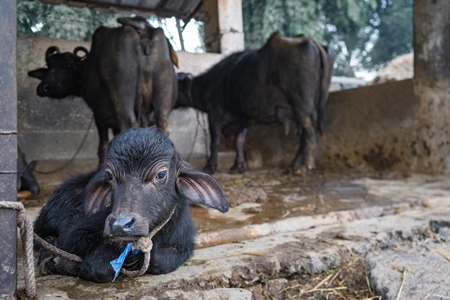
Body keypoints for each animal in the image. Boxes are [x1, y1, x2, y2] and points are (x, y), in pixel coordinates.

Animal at [28, 17, 178, 163]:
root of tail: (143, 32)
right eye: (49, 66)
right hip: (162, 98)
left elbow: (103, 147)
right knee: (163, 127)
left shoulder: (100, 116)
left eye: (68, 66)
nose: (43, 88)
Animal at [33, 126, 229, 282]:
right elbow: (102, 267)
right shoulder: (73, 234)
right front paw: (58, 261)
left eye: (161, 174)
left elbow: (159, 262)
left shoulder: (185, 244)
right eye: (110, 175)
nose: (120, 225)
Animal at [176, 32, 334, 173]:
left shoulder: (214, 113)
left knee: (309, 131)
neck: (208, 83)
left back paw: (305, 165)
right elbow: (239, 142)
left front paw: (210, 167)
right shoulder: (241, 119)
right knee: (304, 137)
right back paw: (294, 165)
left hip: (302, 106)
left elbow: (215, 141)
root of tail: (311, 41)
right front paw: (238, 166)